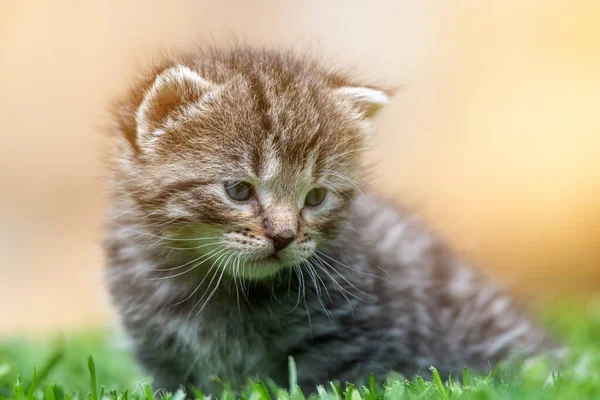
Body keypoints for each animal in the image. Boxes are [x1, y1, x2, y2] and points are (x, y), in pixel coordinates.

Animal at [103, 46, 556, 394]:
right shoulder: (162, 355)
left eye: (316, 197)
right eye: (239, 191)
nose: (284, 236)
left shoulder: (347, 337)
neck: (216, 288)